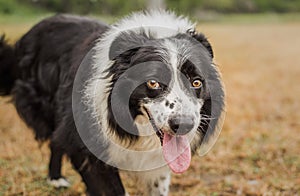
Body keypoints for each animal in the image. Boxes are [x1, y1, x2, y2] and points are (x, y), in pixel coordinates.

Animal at [0, 11, 225, 196]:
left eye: (196, 82)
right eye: (153, 82)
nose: (184, 125)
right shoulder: (84, 141)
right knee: (56, 138)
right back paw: (55, 178)